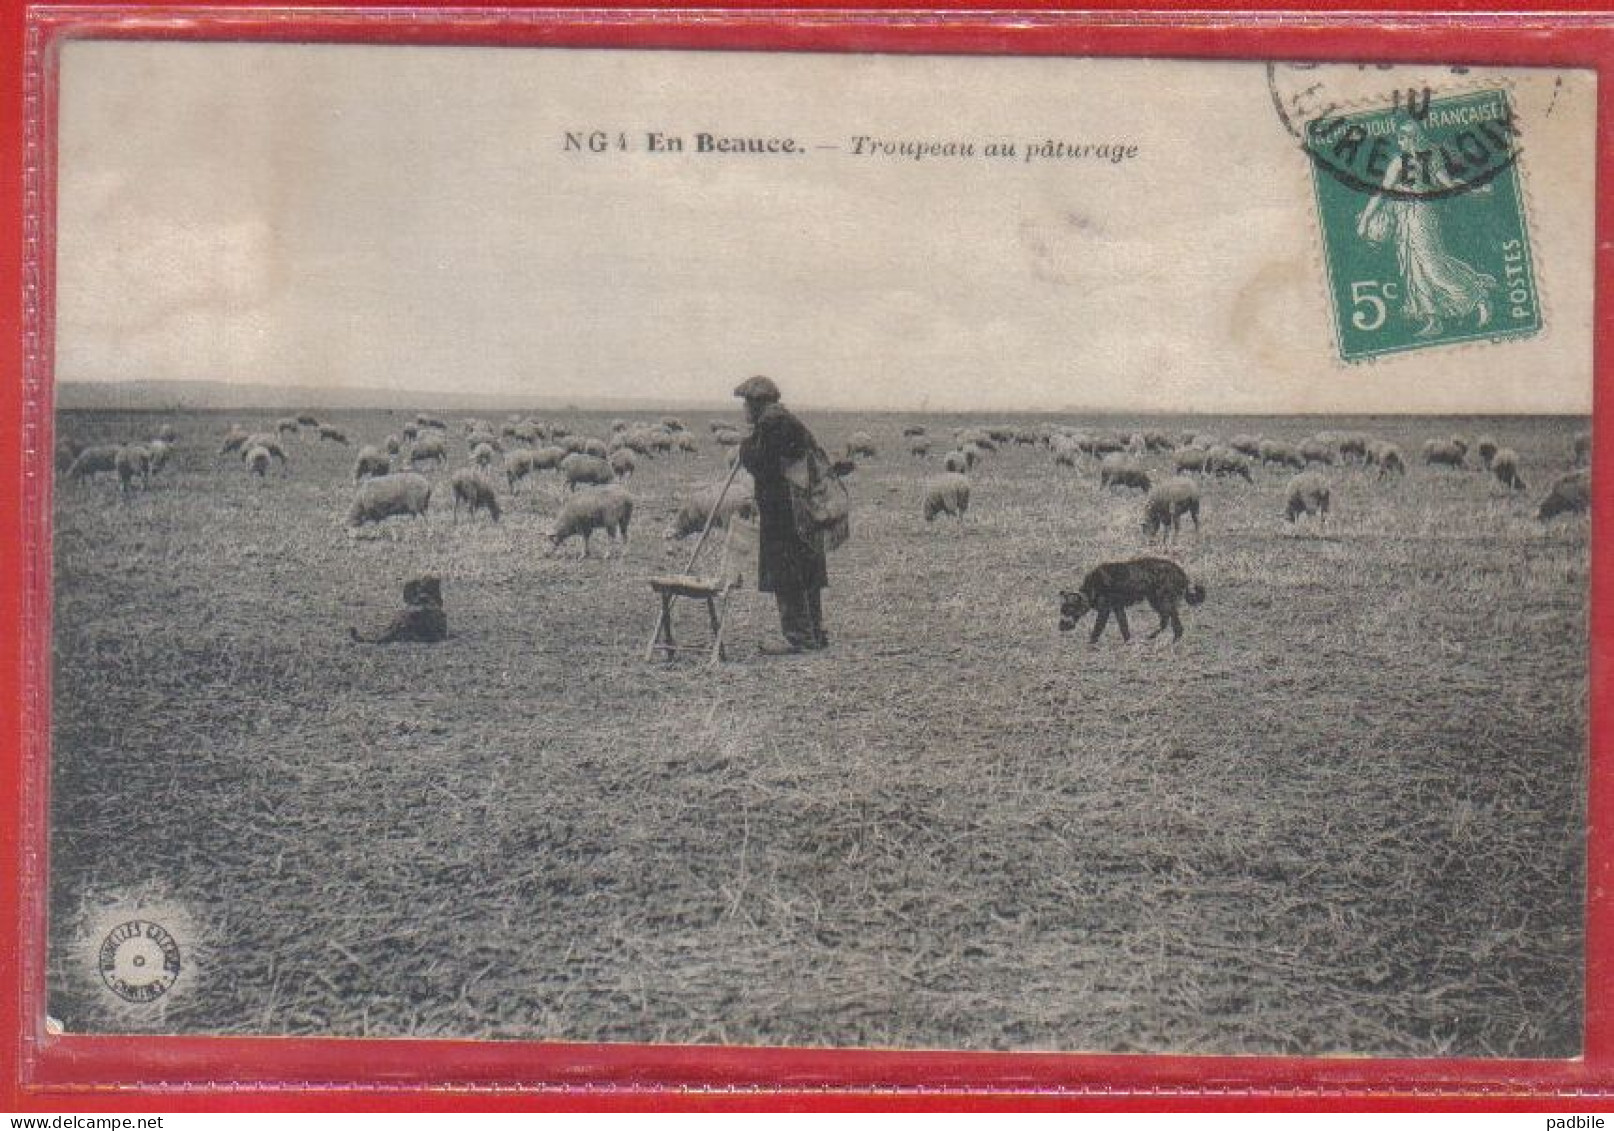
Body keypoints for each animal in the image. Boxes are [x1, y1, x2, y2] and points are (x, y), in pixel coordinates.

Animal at [1052, 558, 1207, 645]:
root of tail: (1183, 575)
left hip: (1162, 600)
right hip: (1157, 600)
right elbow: (1124, 626)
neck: (1091, 589)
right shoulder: (1117, 608)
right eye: (1062, 611)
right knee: (1166, 621)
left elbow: (1098, 628)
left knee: (1174, 624)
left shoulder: (1105, 610)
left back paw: (1170, 641)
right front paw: (1128, 641)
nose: (1060, 626)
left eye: (1069, 610)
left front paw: (1091, 643)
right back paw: (1153, 637)